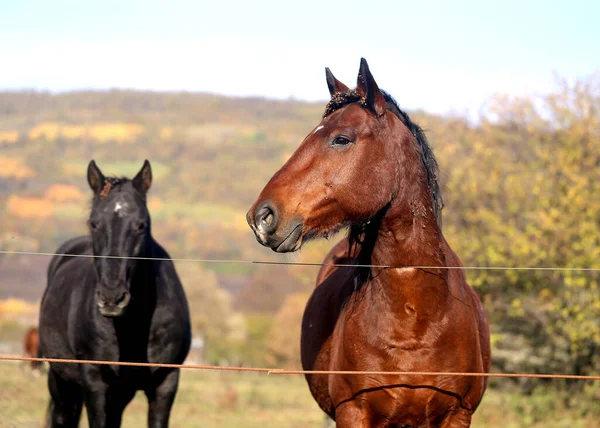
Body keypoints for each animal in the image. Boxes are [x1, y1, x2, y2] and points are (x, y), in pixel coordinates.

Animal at [39, 160, 190, 428]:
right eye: (93, 223)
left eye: (141, 225)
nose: (112, 297)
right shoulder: (95, 382)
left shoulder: (166, 382)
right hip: (61, 382)